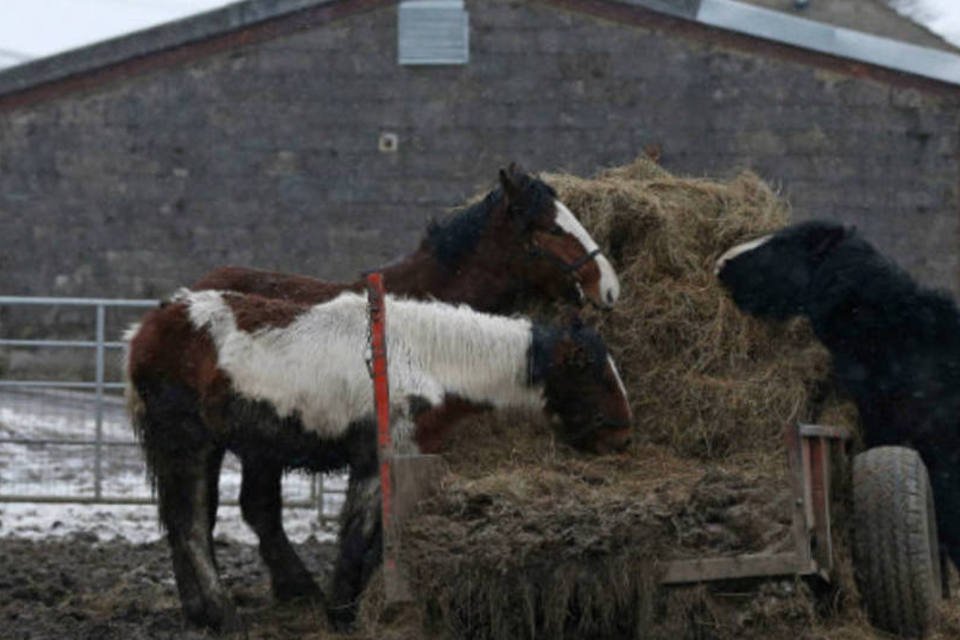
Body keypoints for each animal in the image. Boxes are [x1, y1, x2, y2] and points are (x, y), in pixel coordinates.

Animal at [129, 290, 636, 632]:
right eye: (588, 367)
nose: (622, 436)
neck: (421, 358)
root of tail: (147, 328)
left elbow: (382, 539)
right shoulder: (376, 461)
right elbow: (358, 536)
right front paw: (342, 614)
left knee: (185, 522)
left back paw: (200, 614)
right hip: (187, 443)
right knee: (191, 525)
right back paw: (223, 615)